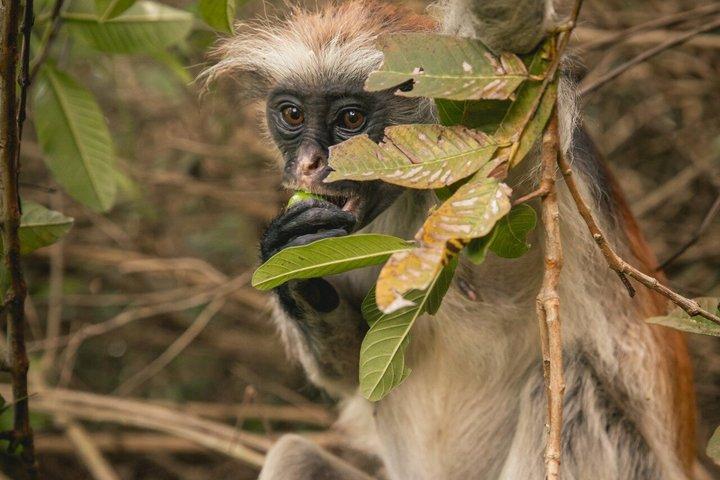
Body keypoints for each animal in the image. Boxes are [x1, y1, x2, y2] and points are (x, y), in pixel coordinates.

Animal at [202, 1, 707, 478]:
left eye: (351, 118)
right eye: (291, 114)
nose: (307, 164)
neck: (418, 199)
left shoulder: (507, 148)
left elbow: (513, 40)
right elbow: (349, 369)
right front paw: (294, 261)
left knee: (578, 391)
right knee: (294, 456)